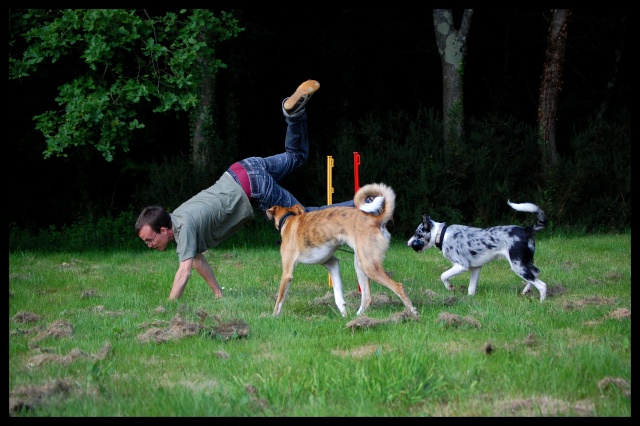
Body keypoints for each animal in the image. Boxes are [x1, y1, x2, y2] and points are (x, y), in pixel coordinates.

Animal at [266, 181, 420, 318]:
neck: (288, 219)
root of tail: (375, 219)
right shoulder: (332, 264)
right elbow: (338, 296)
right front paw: (344, 315)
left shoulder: (287, 273)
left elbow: (279, 300)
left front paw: (273, 317)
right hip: (359, 264)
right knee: (367, 298)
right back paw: (356, 318)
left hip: (369, 266)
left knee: (398, 287)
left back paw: (413, 313)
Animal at [408, 201, 548, 302]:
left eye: (417, 234)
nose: (407, 244)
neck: (441, 234)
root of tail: (526, 230)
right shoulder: (476, 268)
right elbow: (471, 288)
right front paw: (468, 299)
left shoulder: (461, 266)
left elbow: (443, 275)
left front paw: (449, 286)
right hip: (525, 263)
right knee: (536, 273)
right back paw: (525, 291)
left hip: (517, 266)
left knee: (542, 285)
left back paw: (541, 302)